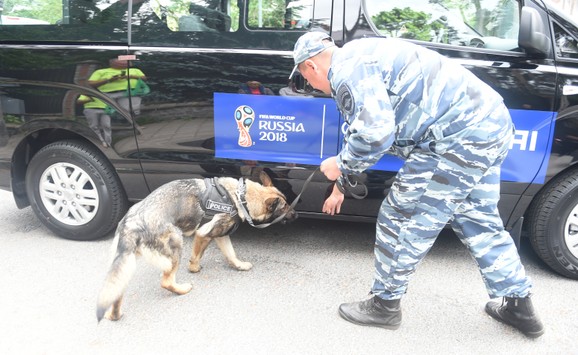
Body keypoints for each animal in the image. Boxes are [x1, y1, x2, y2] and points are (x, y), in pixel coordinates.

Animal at [97, 172, 294, 322]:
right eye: (285, 208)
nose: (297, 214)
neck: (241, 196)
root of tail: (132, 224)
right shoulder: (204, 233)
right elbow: (199, 254)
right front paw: (194, 268)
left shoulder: (221, 236)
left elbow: (231, 254)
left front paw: (239, 265)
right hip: (176, 244)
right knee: (166, 281)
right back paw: (182, 289)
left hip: (126, 265)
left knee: (117, 291)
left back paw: (114, 315)